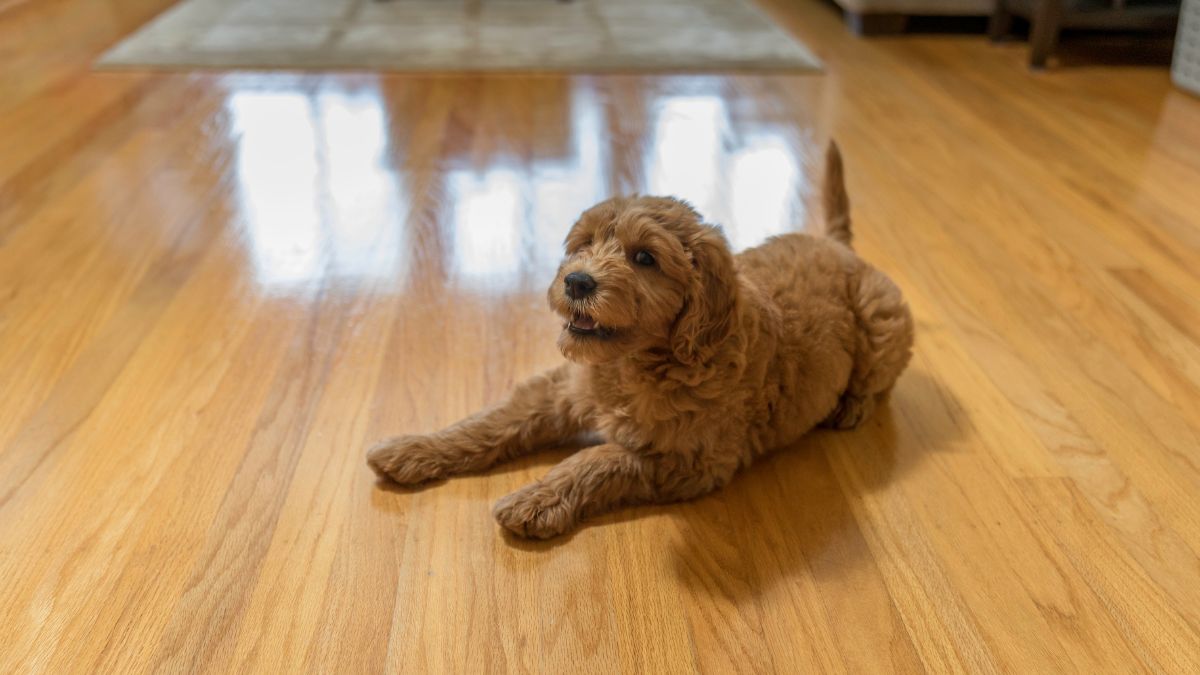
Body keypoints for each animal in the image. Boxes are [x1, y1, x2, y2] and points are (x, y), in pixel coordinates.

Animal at [364, 141, 907, 535]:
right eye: (583, 244)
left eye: (645, 258)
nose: (576, 282)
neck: (633, 363)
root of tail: (837, 245)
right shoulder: (560, 389)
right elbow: (492, 419)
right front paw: (414, 447)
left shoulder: (689, 459)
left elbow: (598, 458)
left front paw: (536, 498)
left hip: (884, 321)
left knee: (878, 378)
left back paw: (852, 404)